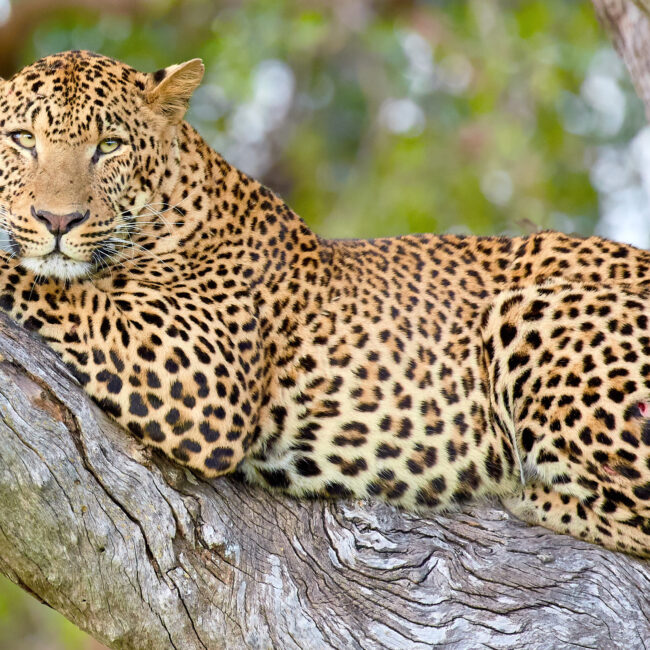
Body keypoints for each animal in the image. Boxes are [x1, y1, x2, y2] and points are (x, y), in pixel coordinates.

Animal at [0, 52, 648, 556]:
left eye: (108, 146)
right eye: (21, 140)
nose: (57, 220)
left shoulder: (208, 370)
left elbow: (55, 286)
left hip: (533, 312)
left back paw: (522, 492)